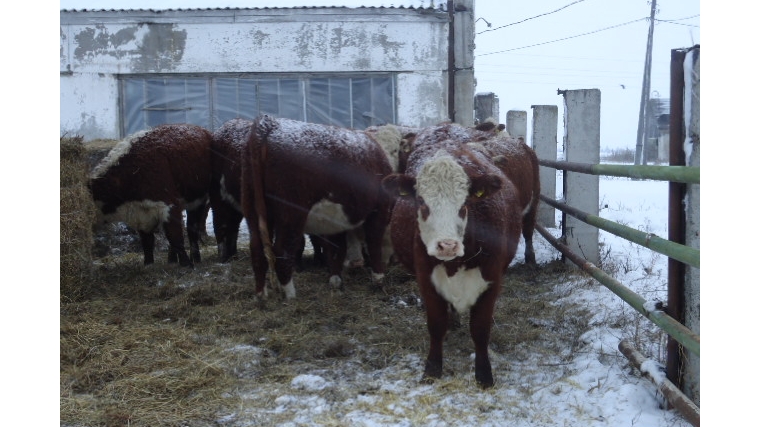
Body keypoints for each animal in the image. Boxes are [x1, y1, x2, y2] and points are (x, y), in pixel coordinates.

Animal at [90, 123, 212, 268]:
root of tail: (202, 129)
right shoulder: (141, 215)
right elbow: (147, 242)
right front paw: (148, 264)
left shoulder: (169, 205)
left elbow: (175, 236)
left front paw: (186, 263)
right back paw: (172, 259)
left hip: (197, 201)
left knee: (191, 229)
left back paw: (195, 258)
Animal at [242, 115, 398, 300]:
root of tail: (269, 123)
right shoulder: (379, 211)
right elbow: (374, 244)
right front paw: (378, 280)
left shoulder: (336, 220)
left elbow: (337, 248)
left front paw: (336, 281)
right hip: (291, 214)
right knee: (283, 251)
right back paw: (291, 295)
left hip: (253, 211)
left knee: (257, 250)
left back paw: (261, 295)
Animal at [382, 123, 524, 388]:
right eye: (421, 201)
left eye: (465, 202)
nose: (446, 245)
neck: (455, 264)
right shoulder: (426, 280)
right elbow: (436, 325)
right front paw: (432, 370)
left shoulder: (492, 280)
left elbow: (480, 329)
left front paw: (484, 375)